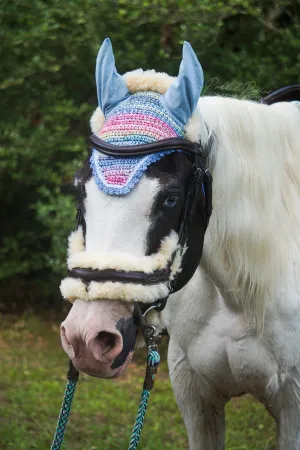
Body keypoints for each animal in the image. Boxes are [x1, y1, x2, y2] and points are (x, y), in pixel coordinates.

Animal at [59, 39, 300, 450]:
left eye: (170, 198)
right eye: (79, 189)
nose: (88, 337)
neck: (237, 297)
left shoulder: (293, 408)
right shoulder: (193, 393)